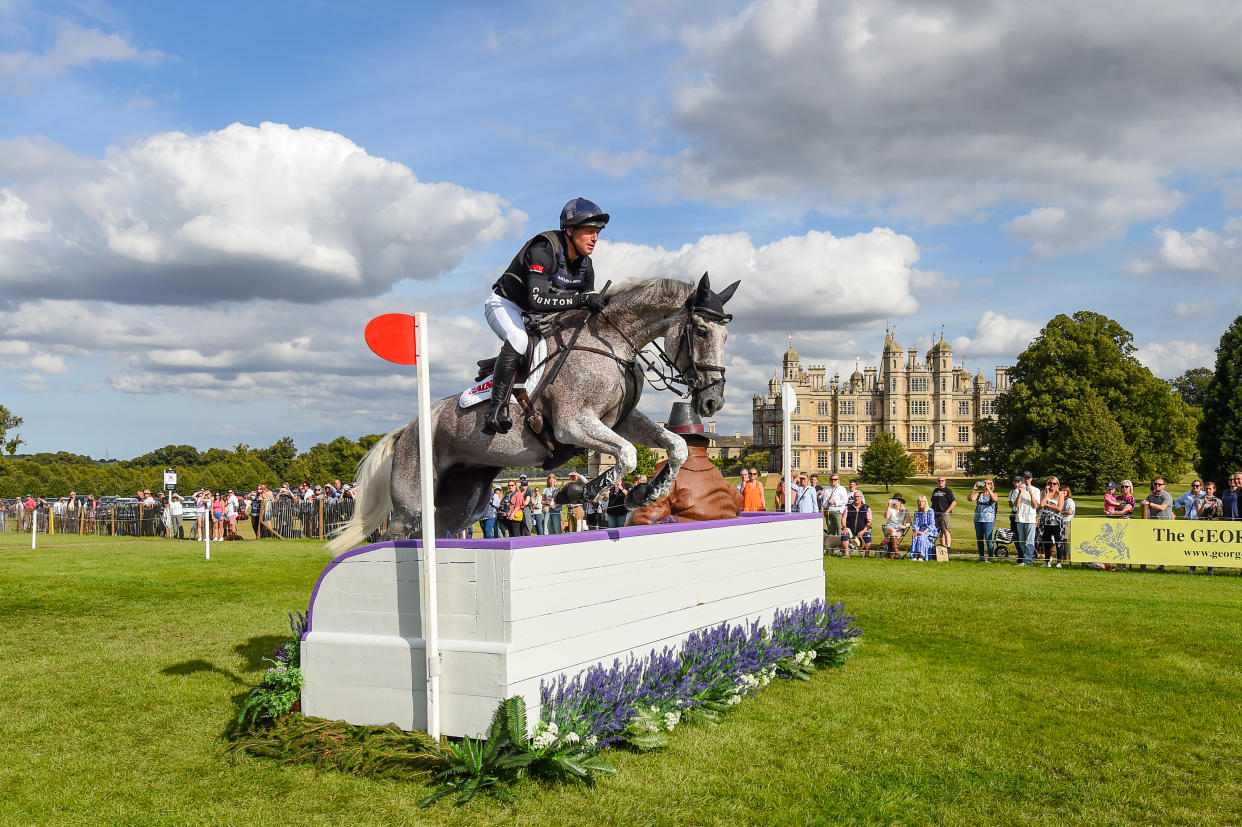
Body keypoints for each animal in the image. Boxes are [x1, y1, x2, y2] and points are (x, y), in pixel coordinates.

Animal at [330, 273, 735, 551]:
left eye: (727, 336)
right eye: (701, 331)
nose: (712, 401)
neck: (610, 344)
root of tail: (405, 430)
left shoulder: (621, 421)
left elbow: (673, 447)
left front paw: (646, 493)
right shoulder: (573, 424)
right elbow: (628, 455)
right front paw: (578, 491)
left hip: (460, 503)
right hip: (412, 504)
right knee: (396, 534)